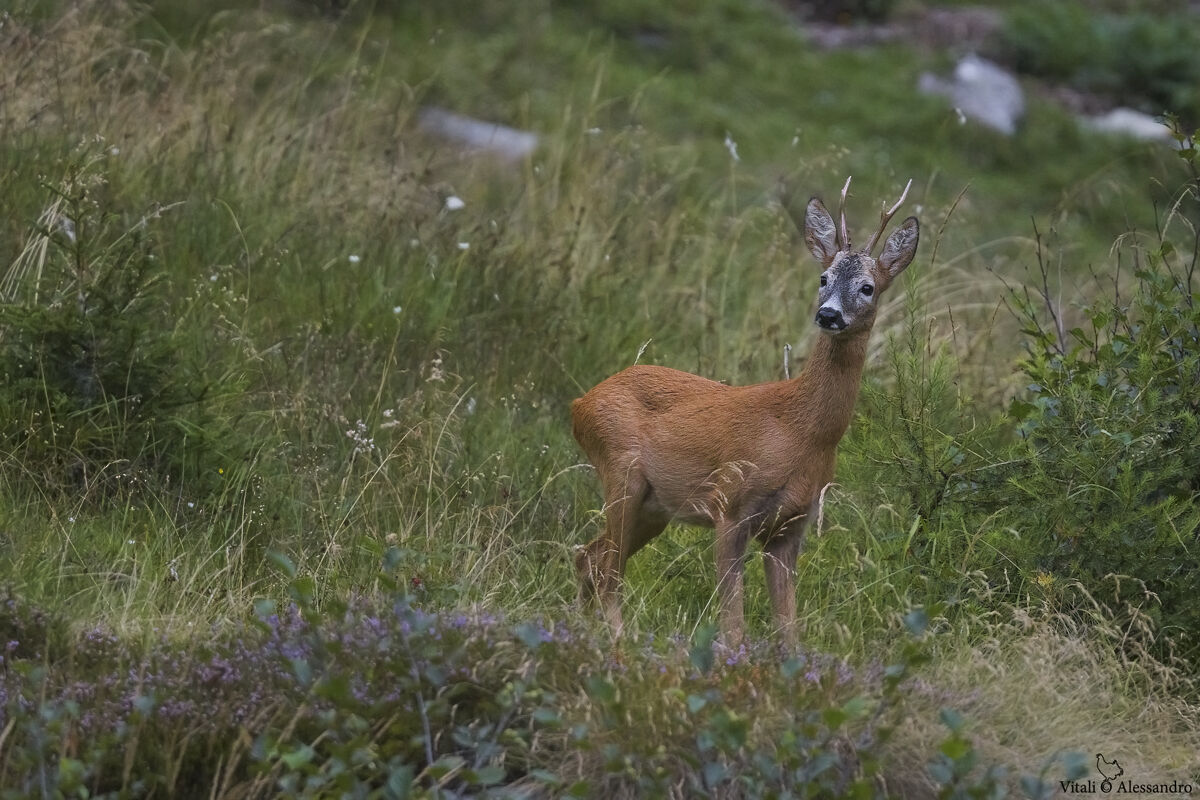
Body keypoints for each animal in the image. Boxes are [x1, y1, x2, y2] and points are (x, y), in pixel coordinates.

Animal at [570, 177, 919, 648]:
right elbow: (733, 627)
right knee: (608, 571)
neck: (802, 432)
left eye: (867, 287)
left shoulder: (791, 525)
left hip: (653, 507)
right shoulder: (730, 504)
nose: (828, 314)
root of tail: (580, 403)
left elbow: (788, 628)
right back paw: (618, 641)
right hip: (621, 474)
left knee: (588, 558)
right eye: (823, 277)